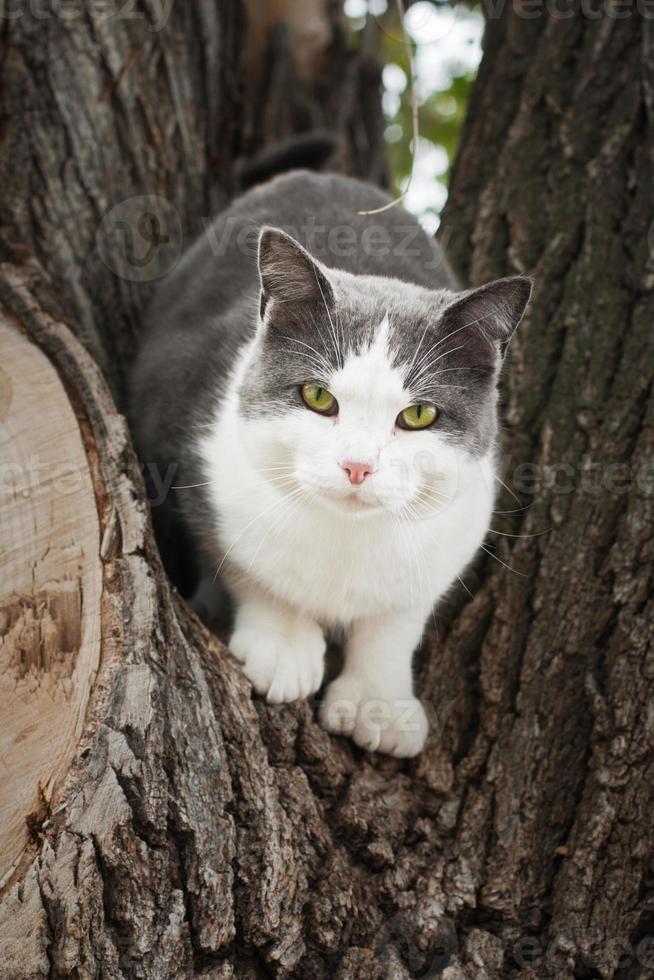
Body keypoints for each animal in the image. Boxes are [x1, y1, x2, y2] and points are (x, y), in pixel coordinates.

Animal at [129, 170, 532, 756]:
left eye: (419, 414)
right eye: (318, 397)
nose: (357, 466)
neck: (346, 540)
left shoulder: (460, 524)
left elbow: (397, 620)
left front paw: (379, 701)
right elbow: (250, 570)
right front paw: (283, 644)